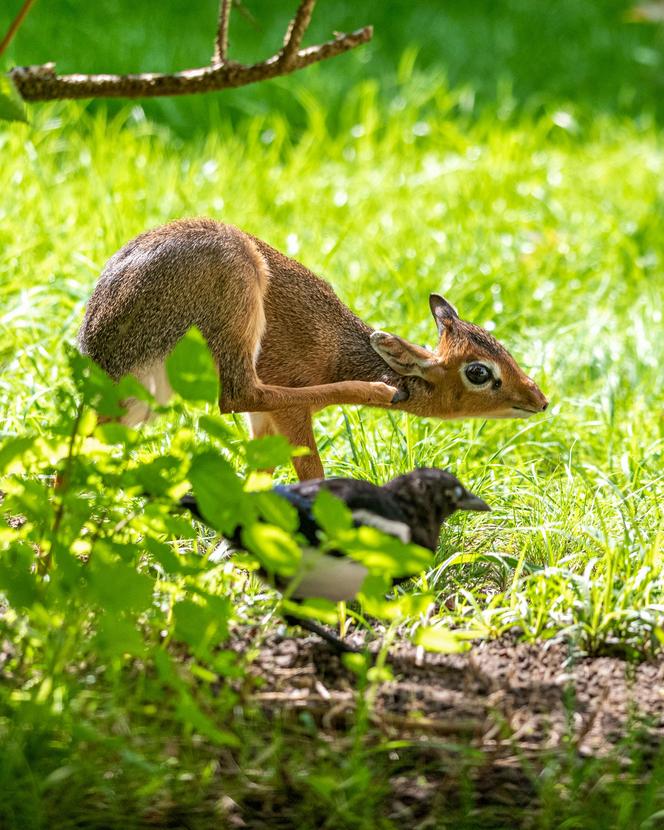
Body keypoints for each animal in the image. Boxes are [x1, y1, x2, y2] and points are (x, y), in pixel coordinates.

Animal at [78, 219, 548, 480]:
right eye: (479, 372)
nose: (539, 399)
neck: (338, 353)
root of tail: (100, 347)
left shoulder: (265, 424)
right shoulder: (288, 413)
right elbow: (309, 470)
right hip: (238, 290)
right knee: (238, 393)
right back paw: (380, 391)